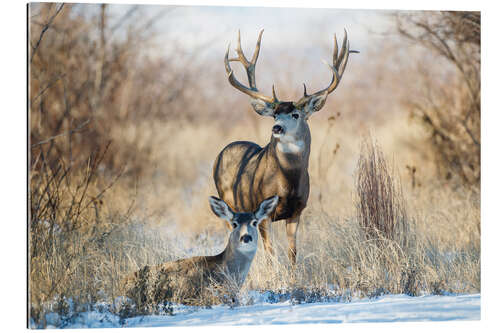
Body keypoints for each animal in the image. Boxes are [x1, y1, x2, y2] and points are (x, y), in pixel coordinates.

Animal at [213, 30, 358, 264]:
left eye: (295, 114)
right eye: (274, 114)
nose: (277, 127)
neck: (287, 181)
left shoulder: (297, 211)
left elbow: (292, 253)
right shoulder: (263, 213)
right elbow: (271, 254)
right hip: (228, 202)